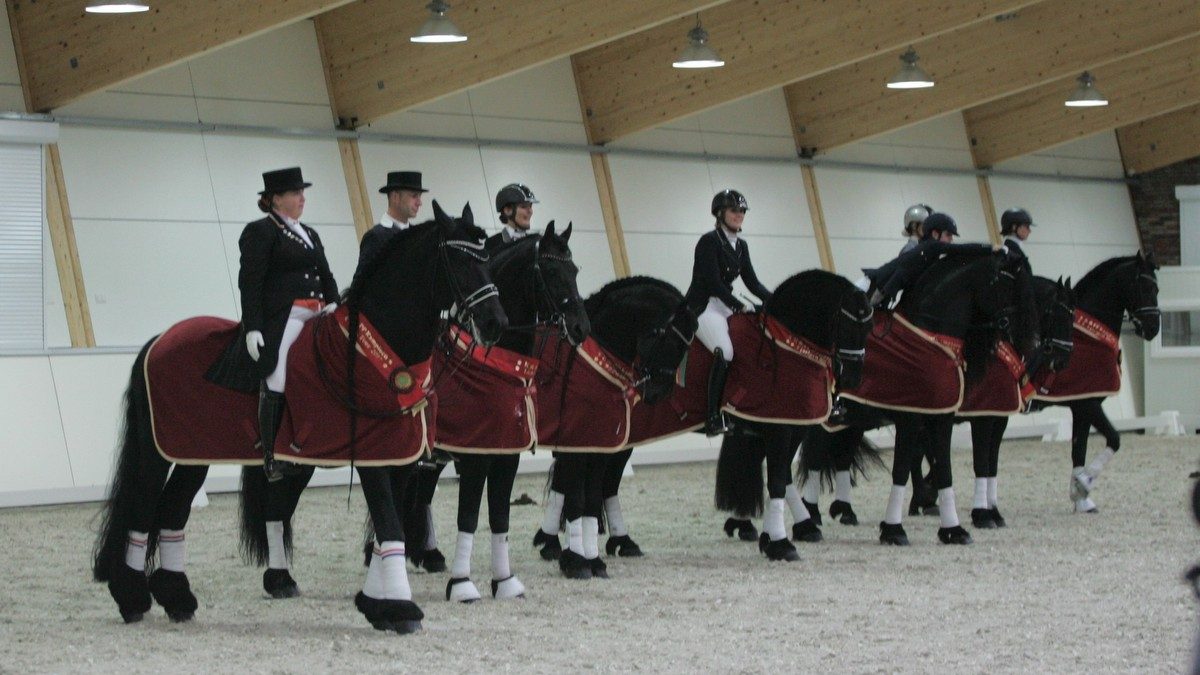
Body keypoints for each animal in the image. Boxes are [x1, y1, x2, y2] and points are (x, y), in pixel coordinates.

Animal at [93, 200, 506, 629]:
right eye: (460, 260)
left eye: (487, 259)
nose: (496, 323)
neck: (375, 354)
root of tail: (159, 340)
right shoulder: (374, 456)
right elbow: (390, 526)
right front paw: (399, 609)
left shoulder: (401, 458)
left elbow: (385, 530)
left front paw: (376, 603)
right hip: (157, 453)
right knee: (143, 508)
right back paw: (132, 597)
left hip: (194, 452)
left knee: (173, 510)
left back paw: (176, 599)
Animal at [532, 276, 700, 576]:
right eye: (666, 337)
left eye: (687, 348)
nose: (658, 393)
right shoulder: (577, 443)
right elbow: (576, 496)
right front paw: (575, 561)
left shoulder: (602, 444)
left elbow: (591, 496)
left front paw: (592, 559)